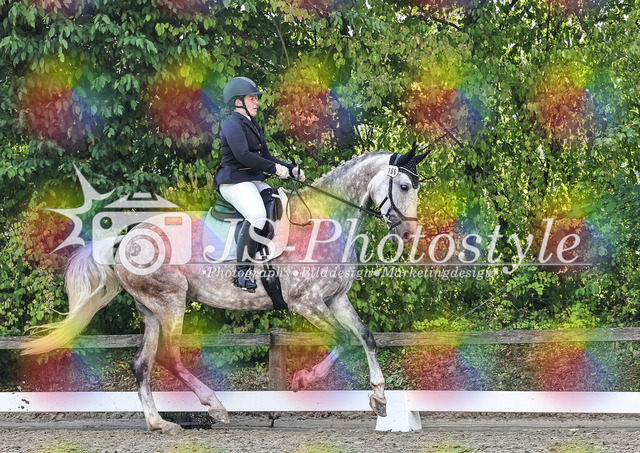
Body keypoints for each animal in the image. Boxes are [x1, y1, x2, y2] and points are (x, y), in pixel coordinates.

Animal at [22, 146, 427, 433]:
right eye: (404, 186)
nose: (408, 234)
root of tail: (125, 239)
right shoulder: (306, 303)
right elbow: (343, 339)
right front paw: (301, 381)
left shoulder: (336, 298)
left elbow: (366, 337)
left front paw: (379, 398)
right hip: (171, 302)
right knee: (169, 357)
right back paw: (215, 407)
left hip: (151, 310)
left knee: (142, 364)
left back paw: (160, 424)